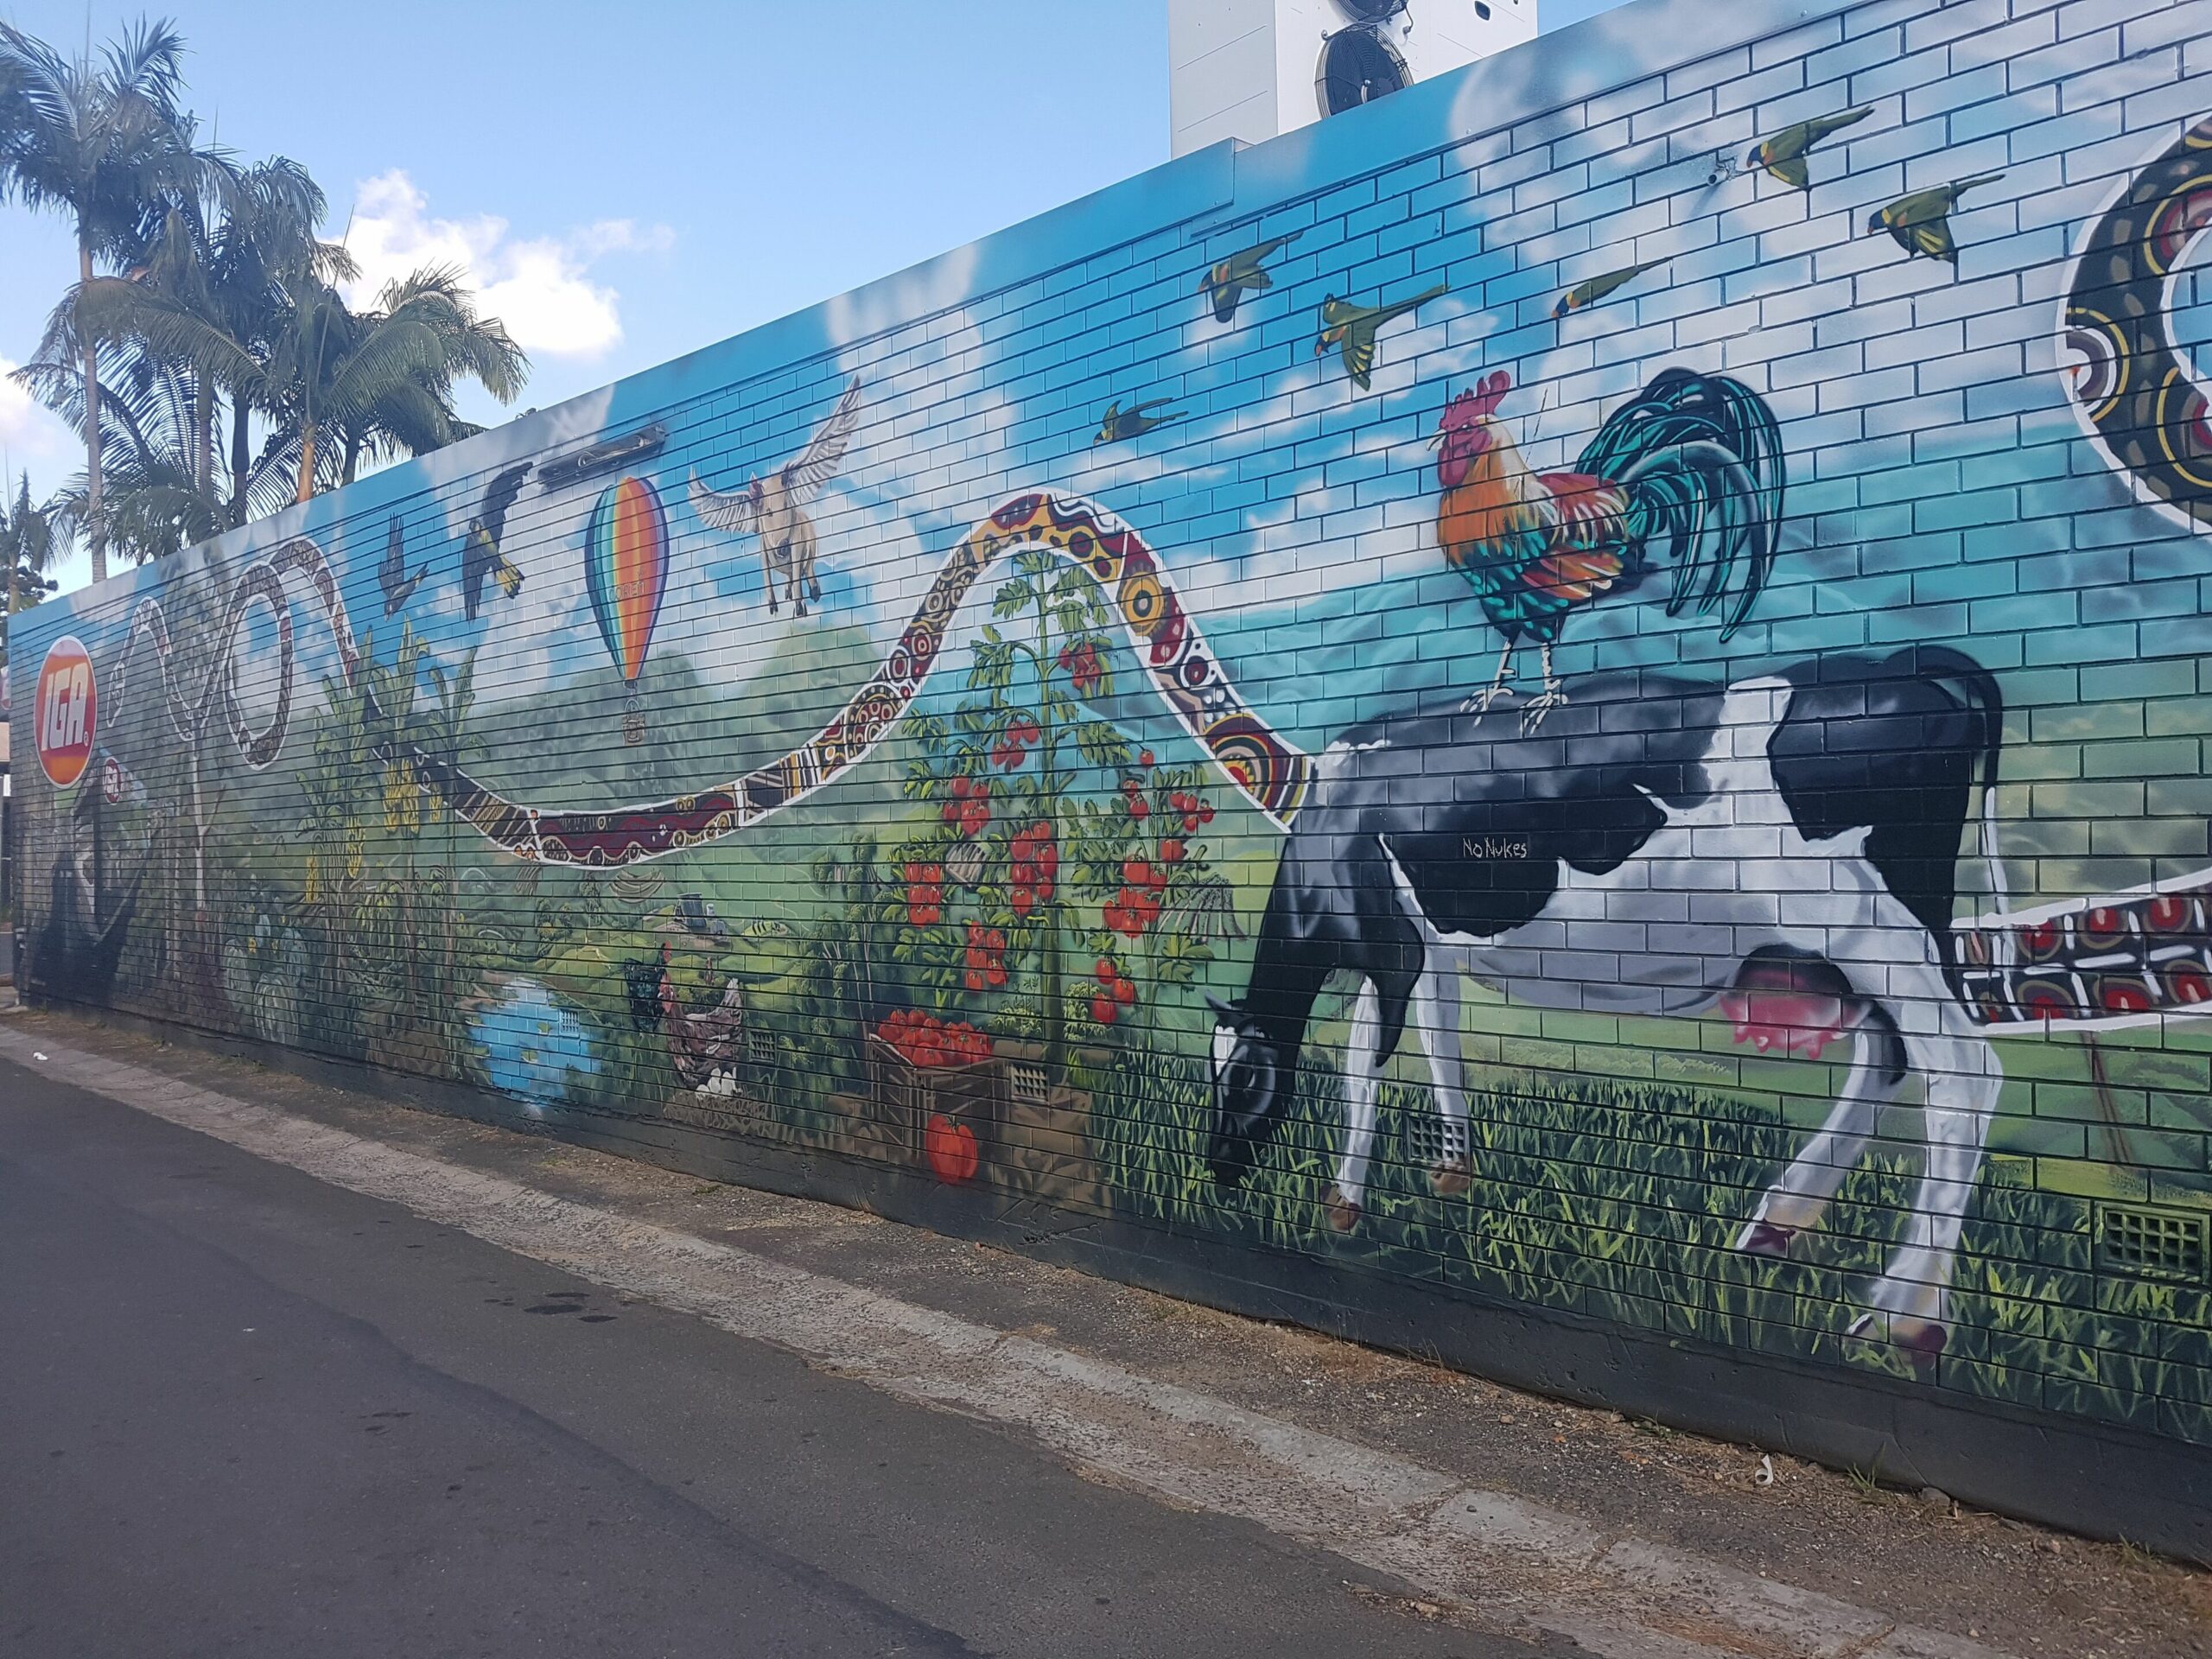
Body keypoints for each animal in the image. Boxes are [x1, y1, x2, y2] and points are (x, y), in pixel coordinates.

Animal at [1211, 650, 2008, 1362]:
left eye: (1242, 1079)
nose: (1218, 1171)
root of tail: (1896, 664)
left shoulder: (1389, 942)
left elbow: (1366, 1058)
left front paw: (1351, 1197)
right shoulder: (1426, 946)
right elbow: (1430, 1038)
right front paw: (1447, 1167)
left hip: (1868, 924)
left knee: (1965, 1071)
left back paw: (1903, 1313)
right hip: (1868, 938)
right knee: (1888, 1054)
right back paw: (1780, 1219)